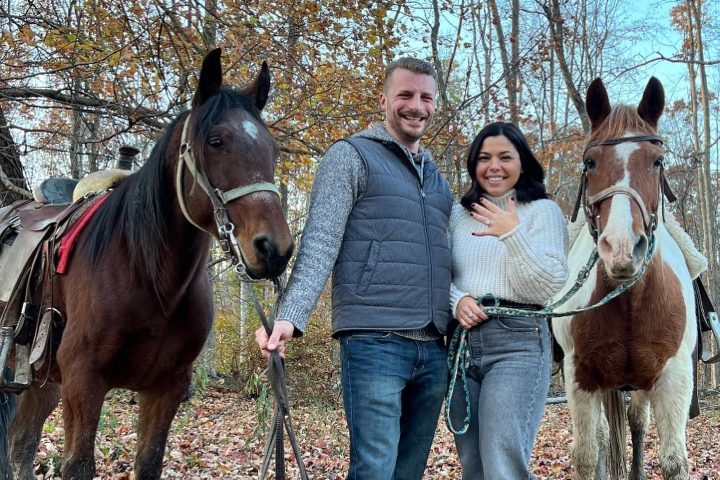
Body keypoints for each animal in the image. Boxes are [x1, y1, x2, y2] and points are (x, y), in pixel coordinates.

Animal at [0, 49, 294, 480]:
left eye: (272, 149)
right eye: (216, 141)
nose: (274, 249)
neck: (151, 278)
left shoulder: (164, 388)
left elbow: (149, 462)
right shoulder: (83, 383)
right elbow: (78, 465)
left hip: (41, 380)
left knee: (20, 445)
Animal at [552, 77, 696, 478]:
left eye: (657, 161)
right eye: (590, 162)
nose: (622, 248)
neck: (629, 301)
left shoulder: (673, 378)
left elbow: (673, 461)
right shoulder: (581, 378)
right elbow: (587, 455)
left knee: (636, 423)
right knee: (603, 436)